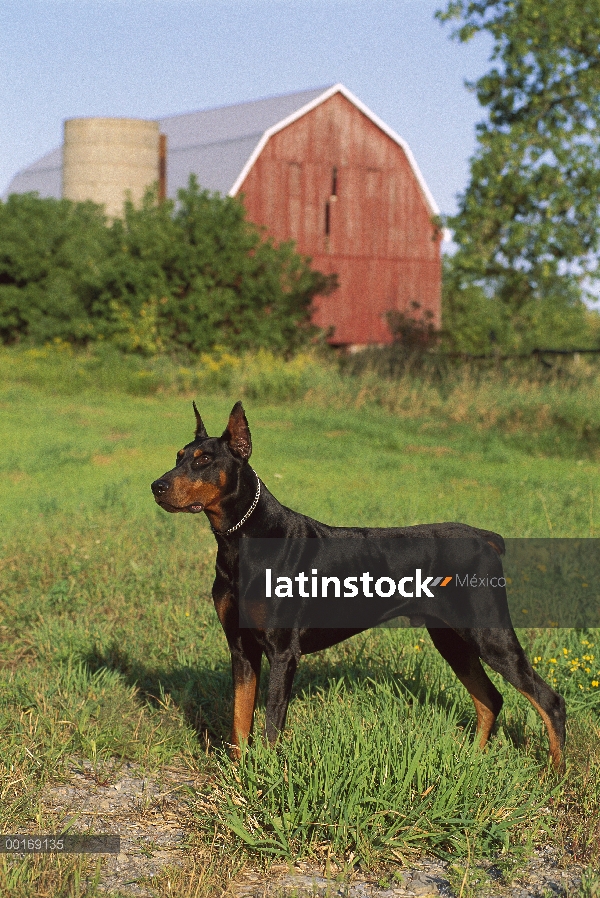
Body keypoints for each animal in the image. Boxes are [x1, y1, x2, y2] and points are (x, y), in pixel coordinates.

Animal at [151, 402, 568, 768]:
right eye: (178, 456)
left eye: (204, 460)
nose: (156, 486)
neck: (241, 538)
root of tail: (485, 538)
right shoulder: (241, 648)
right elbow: (239, 722)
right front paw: (238, 778)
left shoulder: (283, 652)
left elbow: (270, 726)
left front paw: (264, 778)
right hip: (451, 638)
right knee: (490, 699)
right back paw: (471, 762)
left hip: (490, 635)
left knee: (549, 701)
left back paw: (554, 774)